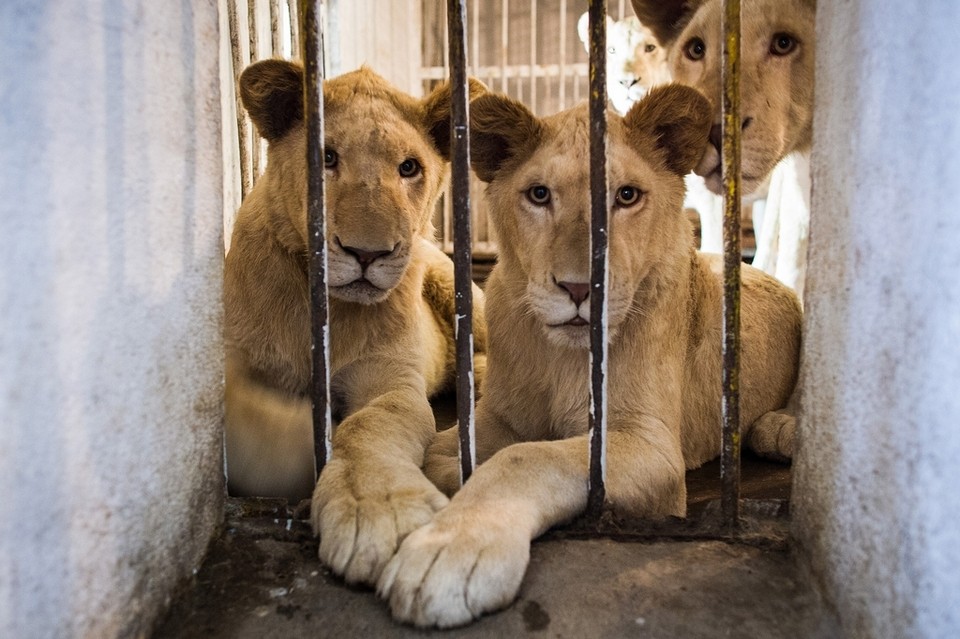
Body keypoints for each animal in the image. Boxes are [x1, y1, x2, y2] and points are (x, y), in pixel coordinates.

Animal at [225, 60, 488, 584]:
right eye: (326, 157)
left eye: (409, 168)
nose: (368, 253)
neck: (323, 307)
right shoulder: (232, 359)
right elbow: (244, 415)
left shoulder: (389, 378)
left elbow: (370, 426)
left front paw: (377, 508)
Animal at [376, 82, 804, 628]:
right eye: (539, 195)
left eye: (626, 196)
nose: (580, 289)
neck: (563, 359)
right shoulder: (498, 414)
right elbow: (447, 453)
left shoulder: (649, 446)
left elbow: (525, 458)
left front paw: (449, 553)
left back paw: (780, 428)